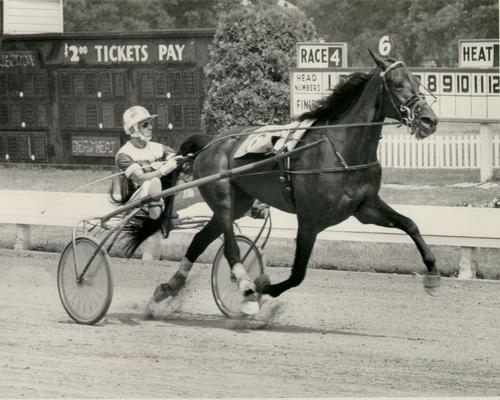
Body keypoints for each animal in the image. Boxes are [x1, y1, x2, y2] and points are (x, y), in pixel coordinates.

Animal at [131, 50, 440, 314]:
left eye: (418, 81)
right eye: (397, 84)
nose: (429, 120)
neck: (340, 149)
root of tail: (211, 141)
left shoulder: (366, 208)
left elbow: (410, 224)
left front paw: (433, 274)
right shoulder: (310, 219)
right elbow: (298, 273)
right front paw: (262, 287)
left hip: (239, 201)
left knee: (199, 240)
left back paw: (167, 289)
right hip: (222, 196)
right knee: (230, 246)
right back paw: (245, 284)